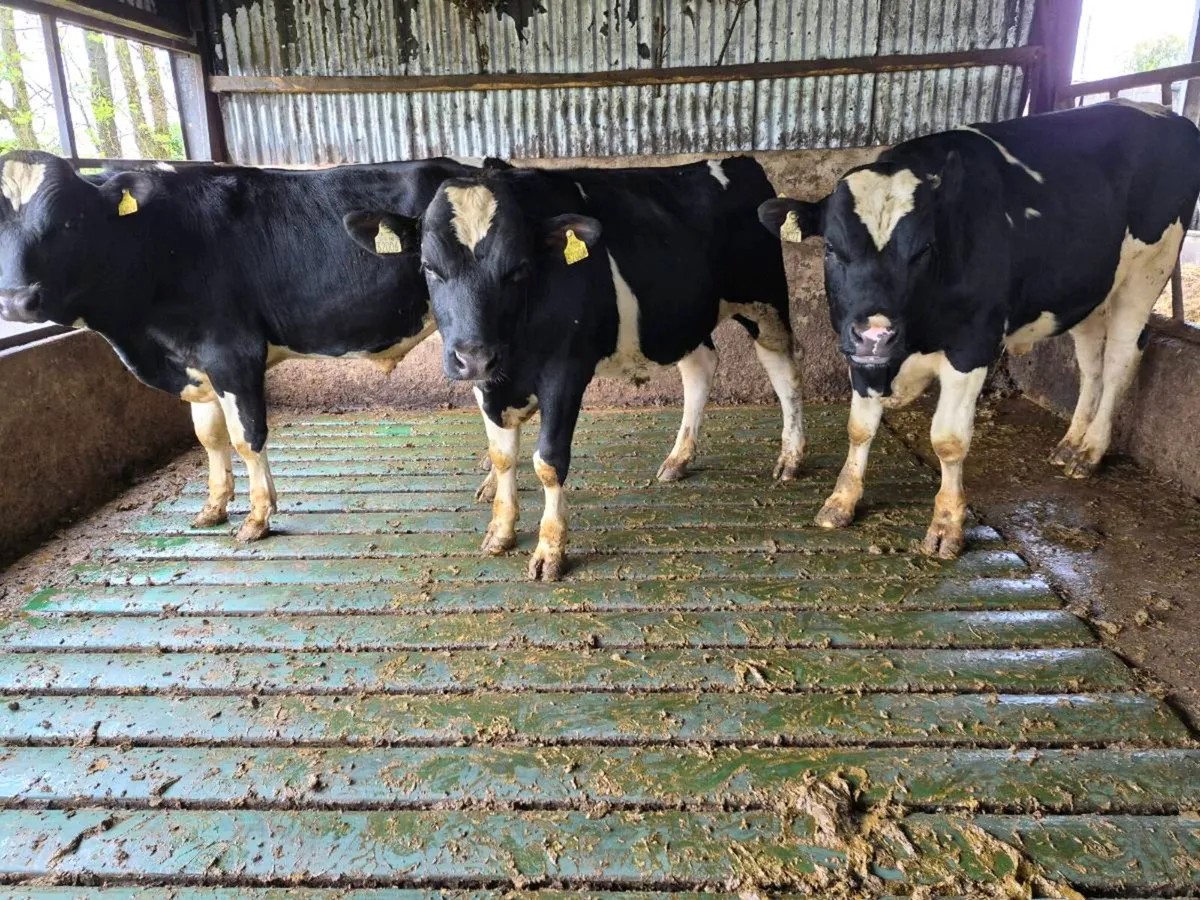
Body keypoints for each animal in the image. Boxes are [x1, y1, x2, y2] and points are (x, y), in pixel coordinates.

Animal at [0, 151, 494, 542]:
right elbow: (209, 437)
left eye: (69, 222)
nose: (17, 300)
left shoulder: (232, 353)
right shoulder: (194, 363)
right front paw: (213, 507)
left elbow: (246, 438)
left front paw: (257, 517)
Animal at [343, 158, 805, 581]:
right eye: (428, 267)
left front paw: (550, 550)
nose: (474, 355)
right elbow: (502, 455)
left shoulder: (565, 370)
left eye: (519, 268)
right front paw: (500, 531)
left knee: (783, 370)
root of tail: (738, 161)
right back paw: (679, 458)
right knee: (700, 366)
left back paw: (791, 456)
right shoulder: (486, 382)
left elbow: (548, 462)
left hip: (765, 298)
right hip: (679, 316)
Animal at [758, 100, 1200, 558]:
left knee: (1120, 360)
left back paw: (1090, 451)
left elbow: (948, 440)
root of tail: (1163, 112)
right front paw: (841, 501)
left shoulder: (972, 346)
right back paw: (1071, 443)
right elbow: (859, 426)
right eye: (831, 247)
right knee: (1091, 363)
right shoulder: (858, 349)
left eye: (925, 249)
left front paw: (946, 526)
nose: (876, 334)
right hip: (1088, 291)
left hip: (1148, 271)